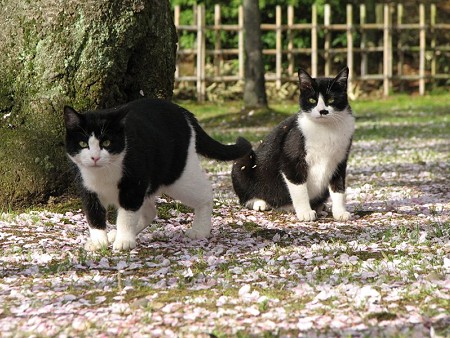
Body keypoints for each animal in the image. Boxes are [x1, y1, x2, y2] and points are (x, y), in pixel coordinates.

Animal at [63, 97, 251, 251]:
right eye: (83, 144)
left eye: (107, 143)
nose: (94, 157)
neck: (103, 173)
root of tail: (182, 111)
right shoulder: (87, 188)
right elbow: (93, 216)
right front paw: (98, 242)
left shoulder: (133, 185)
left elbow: (126, 215)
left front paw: (124, 241)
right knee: (150, 212)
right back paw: (115, 234)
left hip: (177, 176)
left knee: (205, 192)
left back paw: (200, 230)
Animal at [232, 67, 356, 223]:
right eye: (312, 100)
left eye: (331, 99)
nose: (322, 111)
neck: (325, 129)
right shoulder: (291, 159)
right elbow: (299, 188)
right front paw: (305, 212)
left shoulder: (340, 160)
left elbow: (338, 187)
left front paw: (340, 212)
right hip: (243, 161)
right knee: (244, 196)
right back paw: (259, 202)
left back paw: (319, 206)